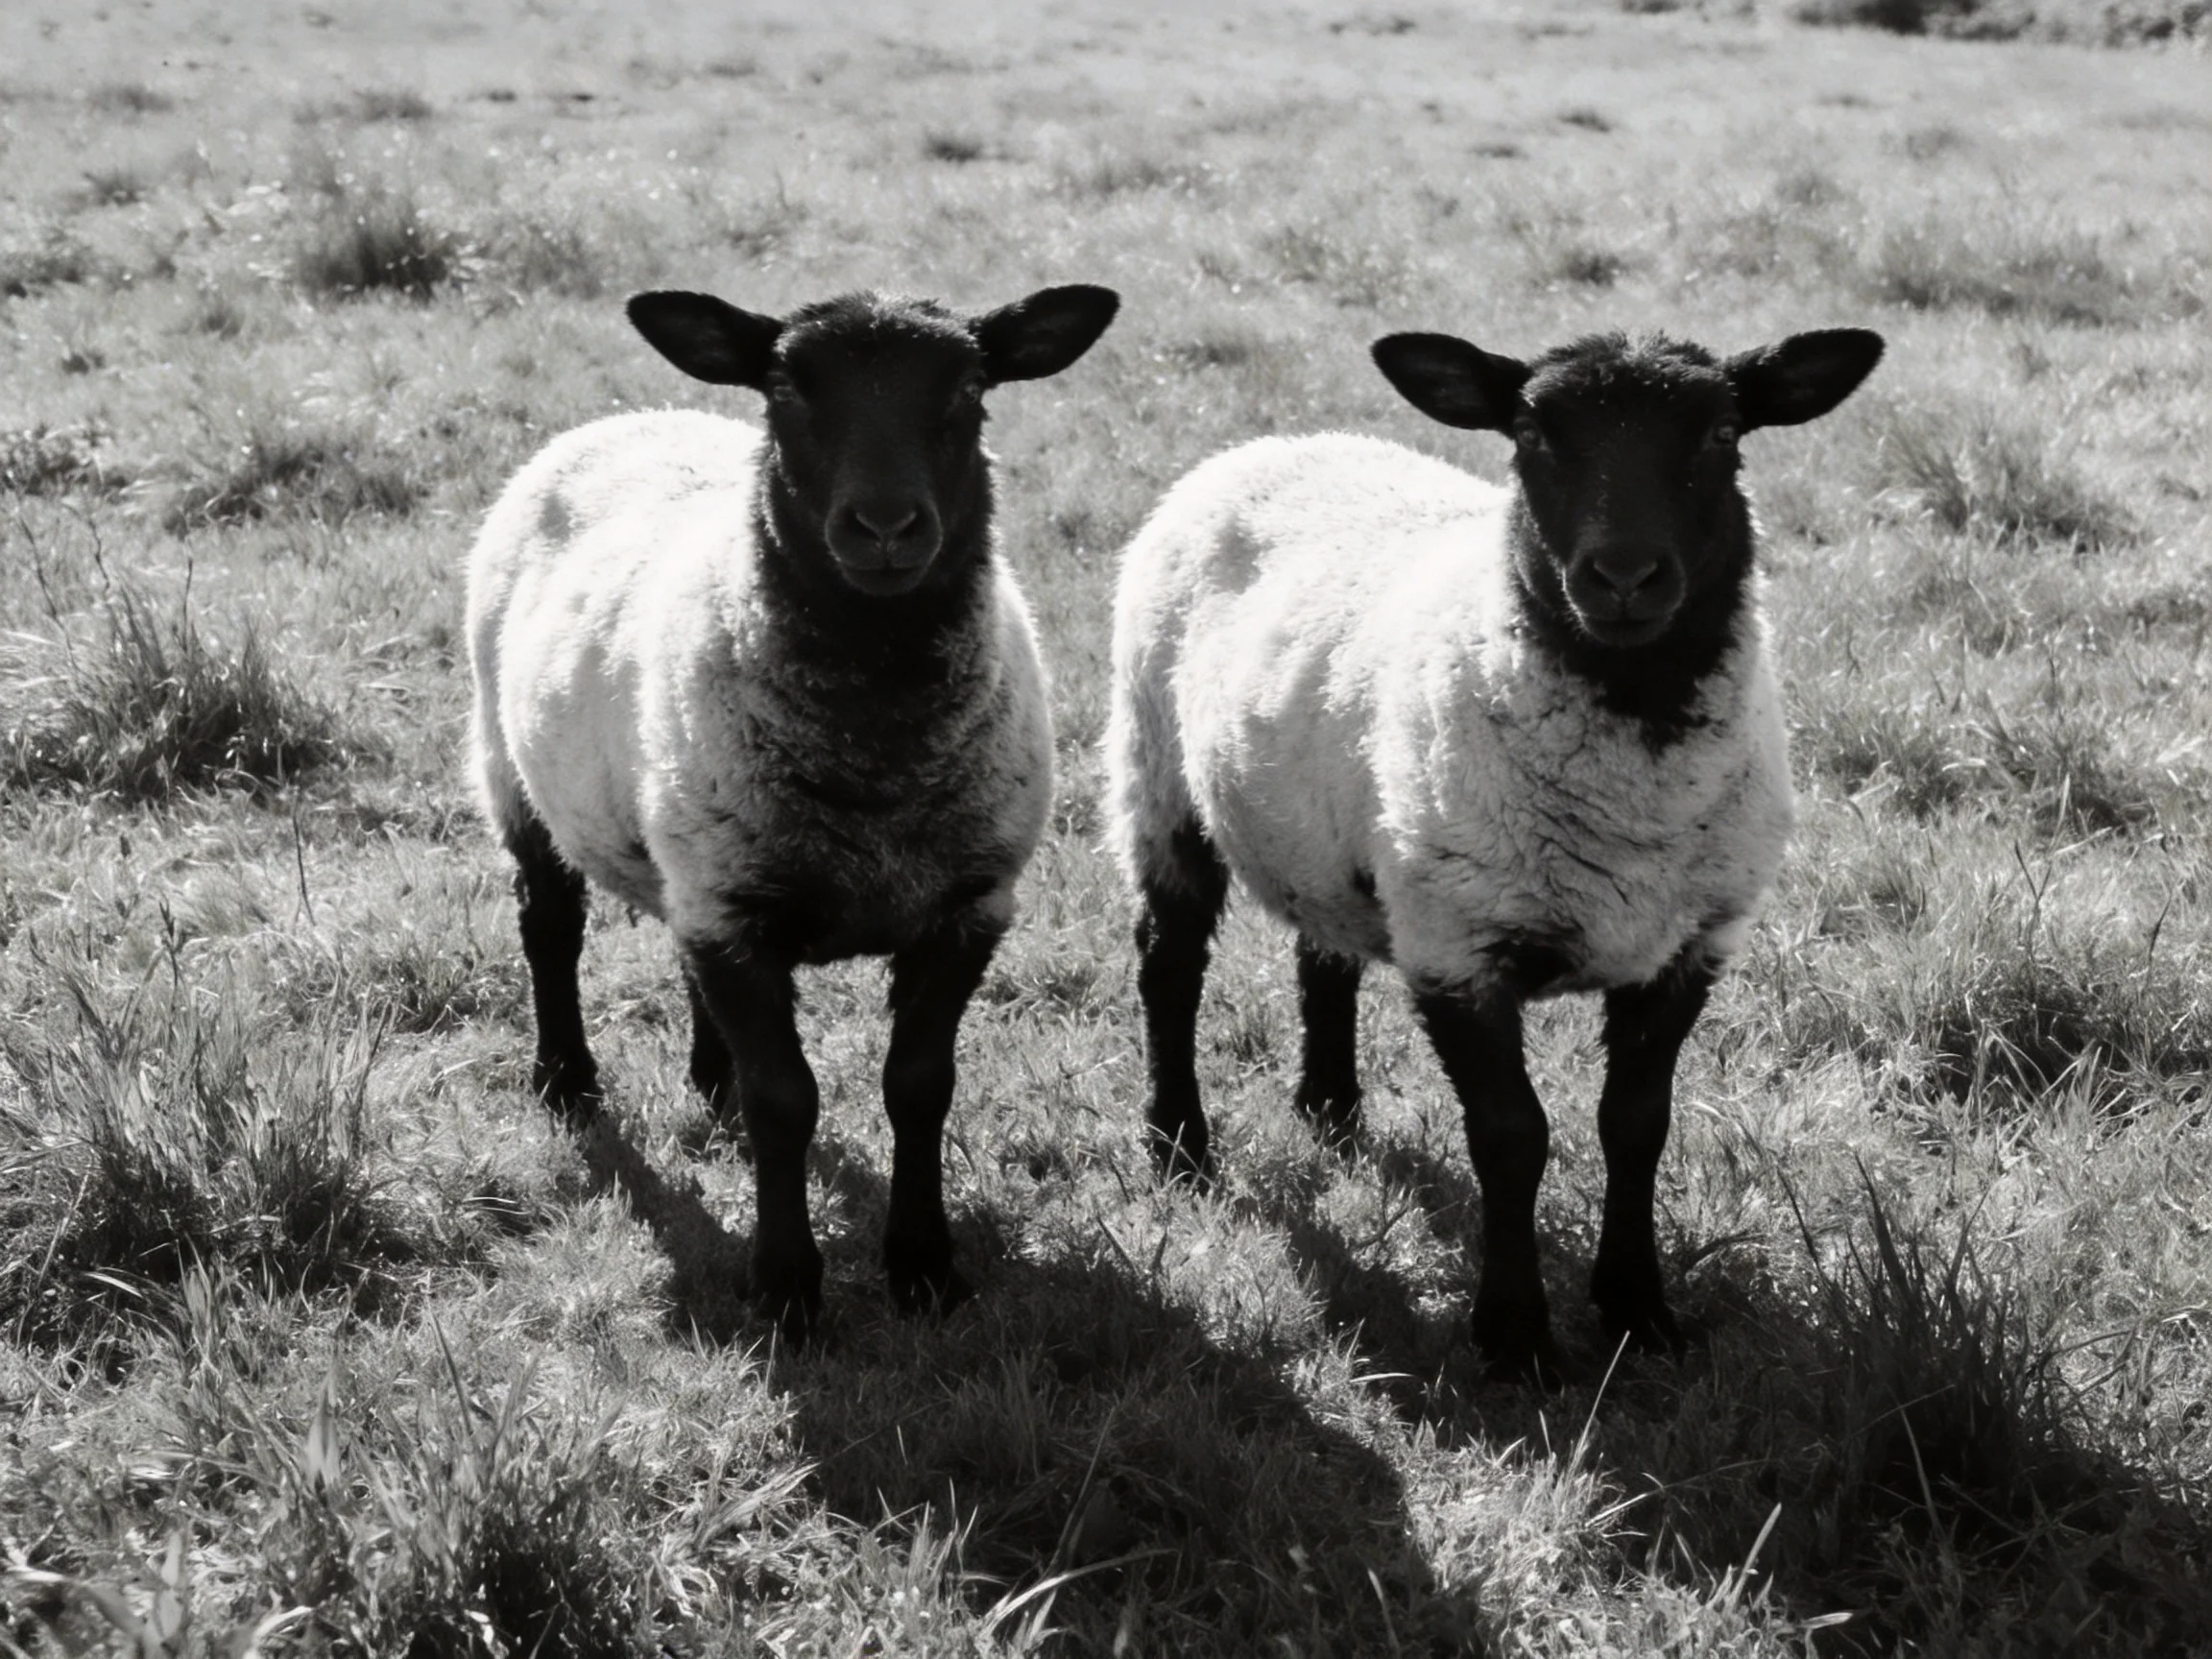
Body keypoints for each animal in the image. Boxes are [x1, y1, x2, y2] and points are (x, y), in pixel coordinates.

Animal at [469, 281, 1120, 1337]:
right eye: (785, 389)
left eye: (970, 388)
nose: (886, 526)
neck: (877, 755)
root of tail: (634, 415)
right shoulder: (739, 911)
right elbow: (787, 1103)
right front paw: (785, 1289)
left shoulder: (961, 910)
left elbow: (920, 1088)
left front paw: (924, 1268)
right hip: (514, 771)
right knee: (549, 927)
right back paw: (565, 1081)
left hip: (697, 843)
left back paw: (709, 1079)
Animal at [1106, 324, 1882, 1377]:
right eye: (1530, 433)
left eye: (1723, 431)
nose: (1623, 576)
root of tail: (1276, 444)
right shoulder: (1459, 946)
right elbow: (1514, 1139)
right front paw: (1515, 1338)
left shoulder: (1689, 946)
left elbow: (1635, 1126)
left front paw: (1639, 1311)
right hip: (1156, 771)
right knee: (1170, 962)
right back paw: (1180, 1144)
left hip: (1337, 828)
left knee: (1324, 952)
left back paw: (1329, 1108)